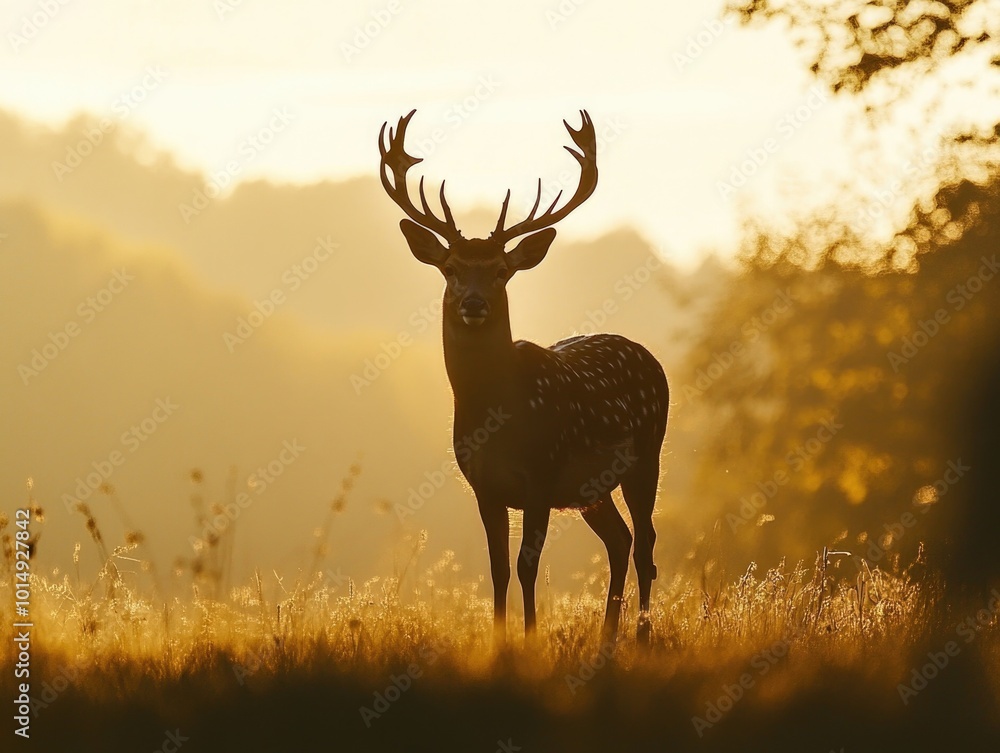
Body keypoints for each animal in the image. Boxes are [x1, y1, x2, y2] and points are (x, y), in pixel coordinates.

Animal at [378, 109, 669, 645]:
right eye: (450, 268)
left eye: (501, 270)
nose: (473, 303)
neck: (499, 418)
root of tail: (649, 356)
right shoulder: (484, 487)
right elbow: (497, 569)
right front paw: (499, 640)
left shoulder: (541, 475)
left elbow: (527, 566)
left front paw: (531, 638)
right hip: (592, 490)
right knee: (620, 541)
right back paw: (607, 635)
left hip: (648, 454)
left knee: (645, 542)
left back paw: (640, 636)